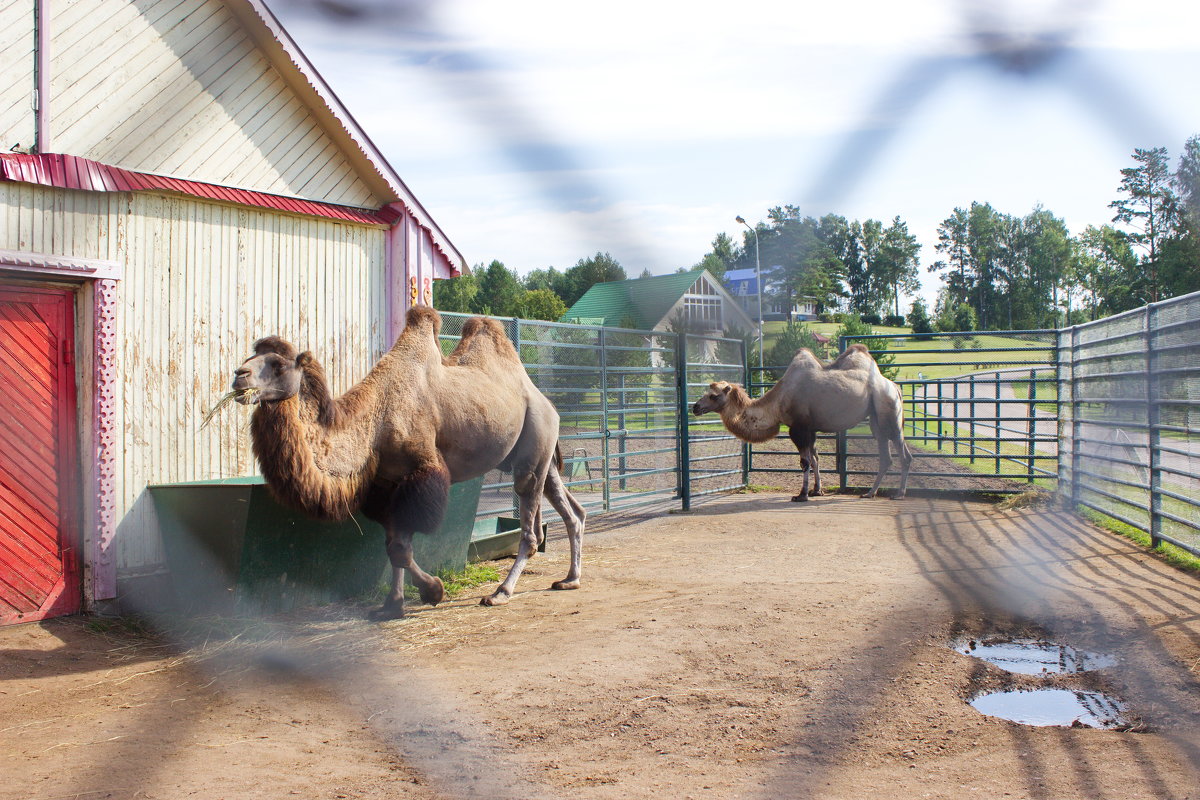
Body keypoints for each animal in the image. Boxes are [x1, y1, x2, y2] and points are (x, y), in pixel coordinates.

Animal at [229, 307, 585, 618]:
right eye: (249, 357)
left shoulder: (422, 469)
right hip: (539, 455)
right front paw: (392, 605)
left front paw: (433, 591)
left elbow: (402, 548)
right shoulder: (387, 482)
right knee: (571, 511)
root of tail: (544, 400)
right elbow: (394, 545)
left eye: (277, 365)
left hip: (534, 442)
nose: (238, 376)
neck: (375, 422)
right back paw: (570, 579)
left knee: (530, 526)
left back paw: (501, 592)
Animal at [696, 345, 907, 501]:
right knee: (887, 455)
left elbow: (805, 461)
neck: (777, 403)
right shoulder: (810, 429)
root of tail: (894, 386)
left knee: (902, 453)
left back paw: (899, 494)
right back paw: (870, 493)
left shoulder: (798, 428)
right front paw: (816, 491)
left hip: (888, 411)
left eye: (713, 395)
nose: (695, 407)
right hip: (876, 418)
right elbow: (815, 459)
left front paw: (801, 495)